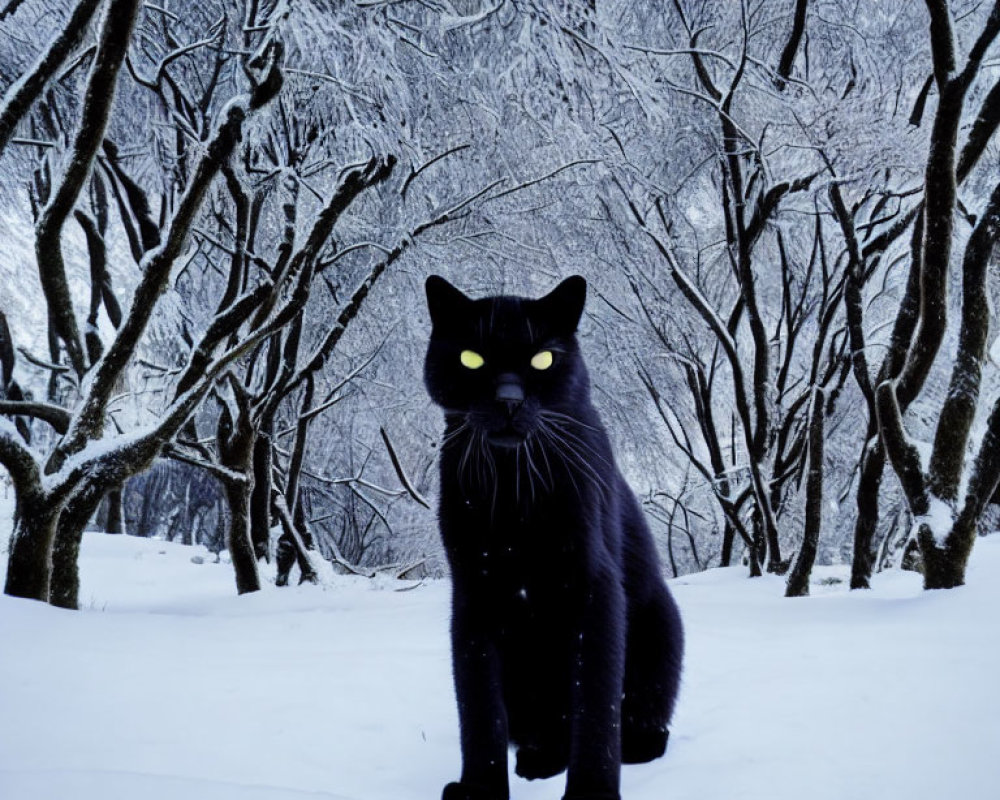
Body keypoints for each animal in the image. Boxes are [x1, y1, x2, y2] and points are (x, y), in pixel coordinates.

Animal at [418, 276, 684, 800]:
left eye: (543, 359)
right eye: (471, 358)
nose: (508, 399)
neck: (512, 488)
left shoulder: (594, 588)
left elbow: (595, 702)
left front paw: (591, 794)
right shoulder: (473, 592)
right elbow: (479, 708)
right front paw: (479, 789)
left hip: (661, 626)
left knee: (641, 716)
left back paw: (634, 747)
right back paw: (538, 761)